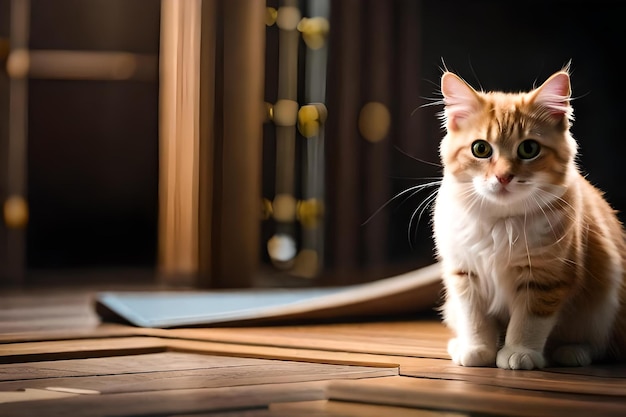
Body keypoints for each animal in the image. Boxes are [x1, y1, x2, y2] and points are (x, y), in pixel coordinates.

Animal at [432, 69, 624, 370]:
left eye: (528, 149)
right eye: (480, 149)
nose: (503, 177)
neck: (500, 224)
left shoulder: (546, 278)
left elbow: (528, 322)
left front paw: (518, 352)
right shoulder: (464, 275)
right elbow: (475, 320)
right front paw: (477, 349)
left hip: (604, 303)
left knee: (599, 345)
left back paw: (573, 352)